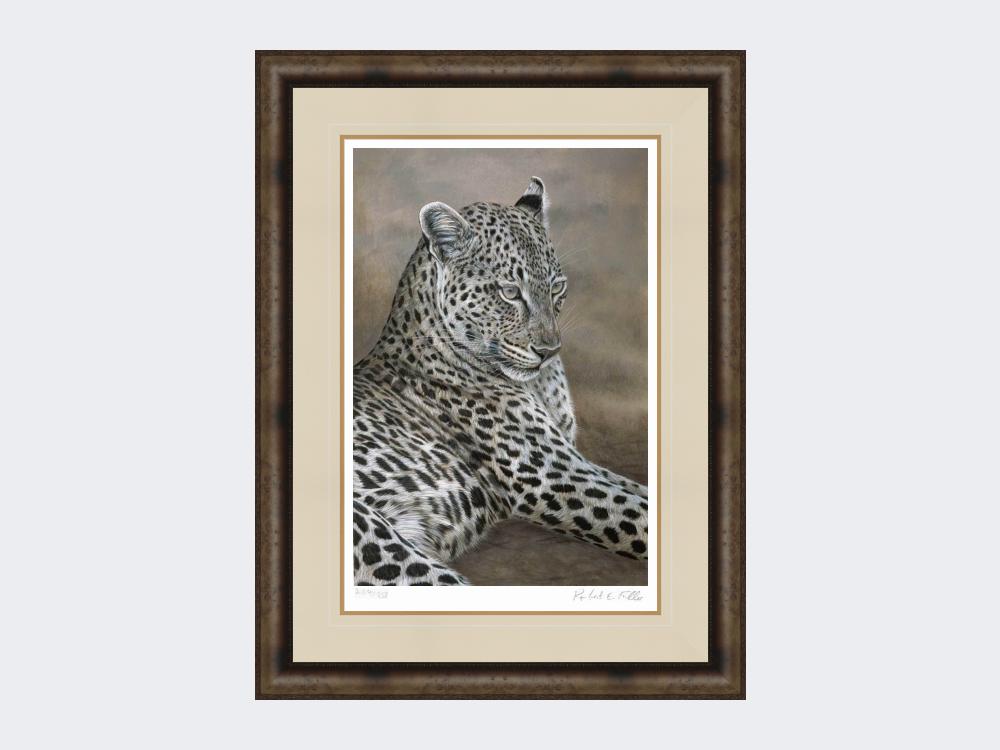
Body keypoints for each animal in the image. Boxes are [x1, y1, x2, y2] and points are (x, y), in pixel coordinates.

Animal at [352, 177, 649, 585]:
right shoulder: (550, 475)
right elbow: (639, 514)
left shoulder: (572, 459)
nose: (549, 350)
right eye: (509, 293)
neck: (539, 384)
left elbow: (638, 489)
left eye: (557, 288)